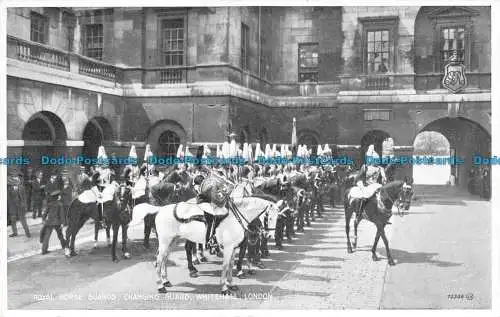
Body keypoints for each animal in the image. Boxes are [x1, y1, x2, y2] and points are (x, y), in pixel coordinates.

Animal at [131, 195, 280, 294]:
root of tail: (160, 209)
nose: (269, 236)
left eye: (278, 217)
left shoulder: (233, 248)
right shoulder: (228, 248)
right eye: (268, 217)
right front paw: (224, 287)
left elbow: (230, 266)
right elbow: (225, 266)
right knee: (159, 261)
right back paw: (160, 286)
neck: (235, 217)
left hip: (172, 241)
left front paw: (231, 284)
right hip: (165, 241)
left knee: (164, 260)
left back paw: (166, 281)